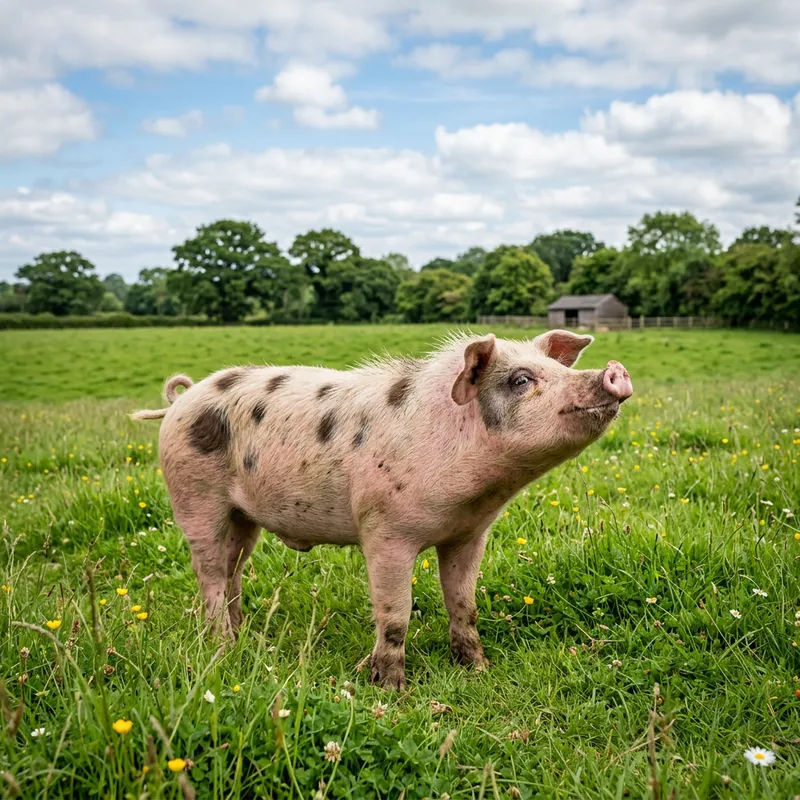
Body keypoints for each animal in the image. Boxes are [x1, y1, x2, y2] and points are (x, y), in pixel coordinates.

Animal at [132, 330, 632, 689]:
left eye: (553, 366)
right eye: (522, 380)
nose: (614, 370)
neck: (476, 492)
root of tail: (182, 399)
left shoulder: (470, 533)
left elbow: (464, 603)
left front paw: (477, 669)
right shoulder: (385, 530)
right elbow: (395, 613)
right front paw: (391, 688)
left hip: (243, 515)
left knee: (233, 568)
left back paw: (244, 637)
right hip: (195, 497)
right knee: (210, 573)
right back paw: (223, 646)